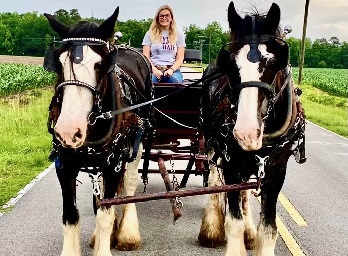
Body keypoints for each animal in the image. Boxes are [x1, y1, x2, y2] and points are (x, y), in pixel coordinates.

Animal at [43, 7, 152, 255]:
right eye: (60, 64)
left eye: (99, 65)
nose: (68, 130)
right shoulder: (64, 165)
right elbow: (70, 216)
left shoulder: (114, 164)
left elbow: (105, 214)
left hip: (138, 142)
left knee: (129, 184)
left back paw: (127, 234)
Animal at [197, 1, 306, 255]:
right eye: (231, 64)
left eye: (274, 62)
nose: (246, 133)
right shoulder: (231, 163)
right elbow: (233, 222)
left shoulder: (276, 170)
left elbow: (268, 228)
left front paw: (254, 234)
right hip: (212, 144)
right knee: (215, 180)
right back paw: (211, 228)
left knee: (245, 193)